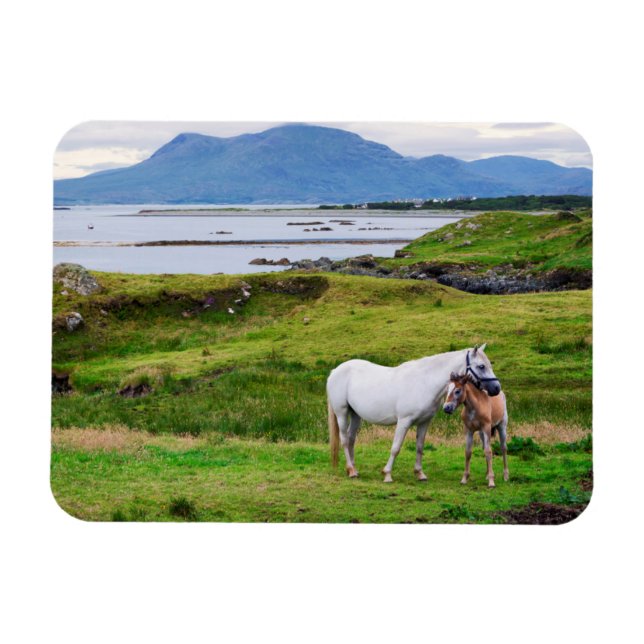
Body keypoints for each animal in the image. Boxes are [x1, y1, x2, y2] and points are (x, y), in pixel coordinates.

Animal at [327, 344, 501, 483]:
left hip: (355, 415)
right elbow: (396, 447)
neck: (425, 382)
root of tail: (335, 371)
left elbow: (419, 447)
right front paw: (387, 474)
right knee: (344, 440)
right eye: (481, 366)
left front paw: (419, 473)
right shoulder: (404, 421)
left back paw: (353, 469)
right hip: (342, 413)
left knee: (351, 439)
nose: (496, 388)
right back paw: (351, 470)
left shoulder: (424, 422)